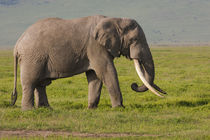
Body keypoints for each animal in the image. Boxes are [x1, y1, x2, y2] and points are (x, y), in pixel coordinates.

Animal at [11, 14, 166, 110]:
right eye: (134, 40)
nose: (134, 85)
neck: (115, 19)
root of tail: (17, 44)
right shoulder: (95, 46)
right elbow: (107, 71)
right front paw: (119, 108)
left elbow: (95, 76)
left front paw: (91, 108)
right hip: (32, 57)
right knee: (31, 82)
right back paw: (29, 110)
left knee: (40, 84)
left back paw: (47, 109)